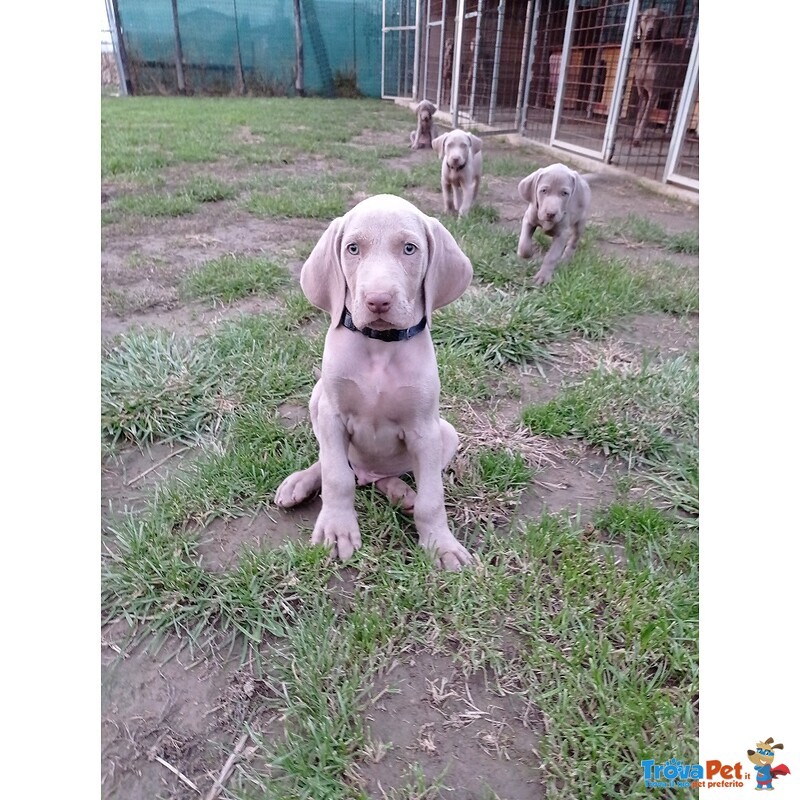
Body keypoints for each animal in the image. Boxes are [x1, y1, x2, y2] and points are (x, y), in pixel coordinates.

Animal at [276, 193, 476, 568]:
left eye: (410, 249)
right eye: (353, 248)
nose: (378, 300)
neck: (380, 347)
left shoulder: (425, 430)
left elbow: (432, 498)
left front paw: (441, 544)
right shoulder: (332, 414)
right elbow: (337, 477)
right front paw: (337, 530)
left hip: (447, 433)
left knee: (386, 477)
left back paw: (401, 492)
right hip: (317, 399)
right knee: (337, 465)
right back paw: (300, 483)